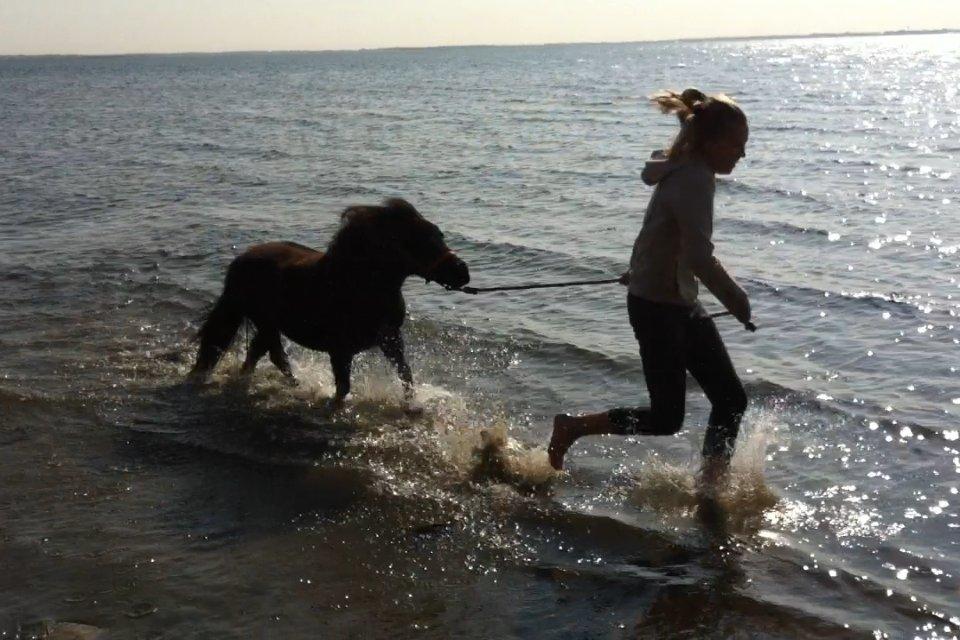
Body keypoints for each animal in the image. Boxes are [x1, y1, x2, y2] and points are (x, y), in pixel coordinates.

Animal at [187, 198, 468, 412]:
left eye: (439, 235)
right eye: (420, 241)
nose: (463, 273)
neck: (361, 285)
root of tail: (240, 260)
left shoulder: (391, 340)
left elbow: (406, 374)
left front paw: (413, 406)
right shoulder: (340, 350)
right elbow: (343, 388)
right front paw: (335, 408)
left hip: (268, 325)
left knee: (260, 354)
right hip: (265, 323)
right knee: (273, 355)